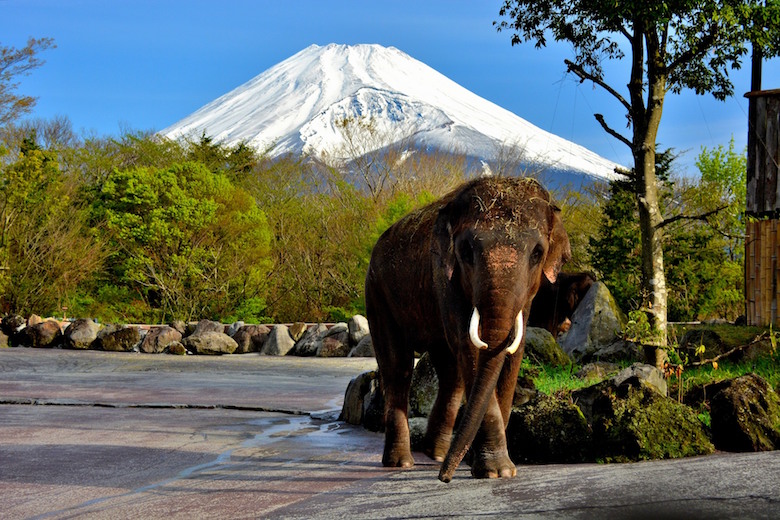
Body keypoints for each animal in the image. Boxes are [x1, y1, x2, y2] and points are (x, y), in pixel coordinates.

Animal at [362, 177, 568, 482]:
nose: (444, 478)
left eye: (537, 253)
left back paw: (436, 454)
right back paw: (402, 463)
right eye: (466, 251)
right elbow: (470, 347)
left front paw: (494, 467)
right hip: (376, 293)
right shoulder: (443, 273)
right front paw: (496, 471)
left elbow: (512, 353)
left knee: (450, 372)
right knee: (398, 367)